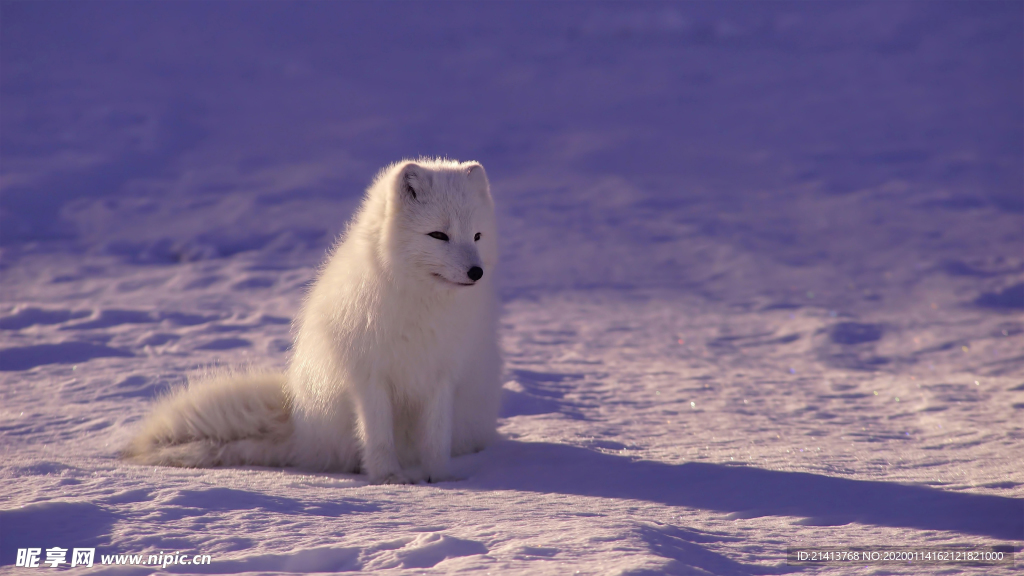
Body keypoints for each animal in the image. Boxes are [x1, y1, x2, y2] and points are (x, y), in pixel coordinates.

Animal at [125, 155, 501, 479]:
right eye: (439, 235)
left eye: (477, 235)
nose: (477, 272)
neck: (422, 304)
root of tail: (300, 425)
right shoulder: (369, 376)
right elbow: (378, 436)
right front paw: (389, 478)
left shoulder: (442, 376)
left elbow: (436, 438)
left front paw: (441, 479)